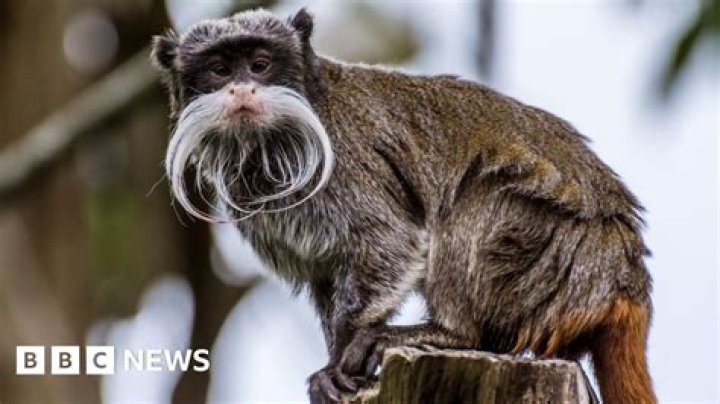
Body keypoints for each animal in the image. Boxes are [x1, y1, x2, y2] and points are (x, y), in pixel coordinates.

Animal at [151, 8, 656, 404]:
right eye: (219, 70)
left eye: (260, 65)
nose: (242, 90)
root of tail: (625, 281)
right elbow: (325, 276)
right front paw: (332, 367)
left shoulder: (346, 165)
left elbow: (389, 241)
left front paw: (341, 360)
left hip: (558, 258)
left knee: (476, 200)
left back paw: (449, 333)